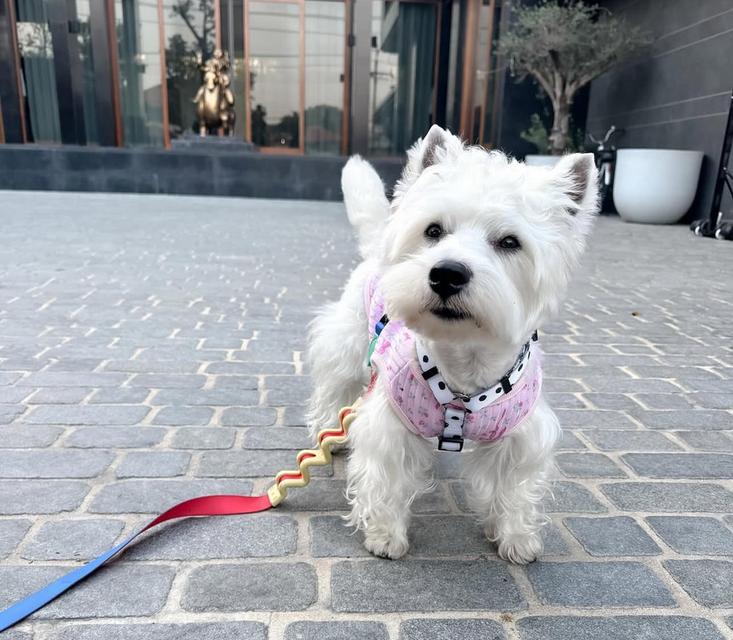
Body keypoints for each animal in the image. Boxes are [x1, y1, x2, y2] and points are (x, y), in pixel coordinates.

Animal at [306, 126, 596, 564]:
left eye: (510, 242)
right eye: (433, 231)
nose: (446, 273)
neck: (463, 365)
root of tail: (379, 247)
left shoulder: (521, 436)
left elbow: (515, 489)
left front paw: (516, 539)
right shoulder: (391, 426)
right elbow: (386, 481)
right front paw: (385, 536)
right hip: (347, 340)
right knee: (333, 385)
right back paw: (328, 431)